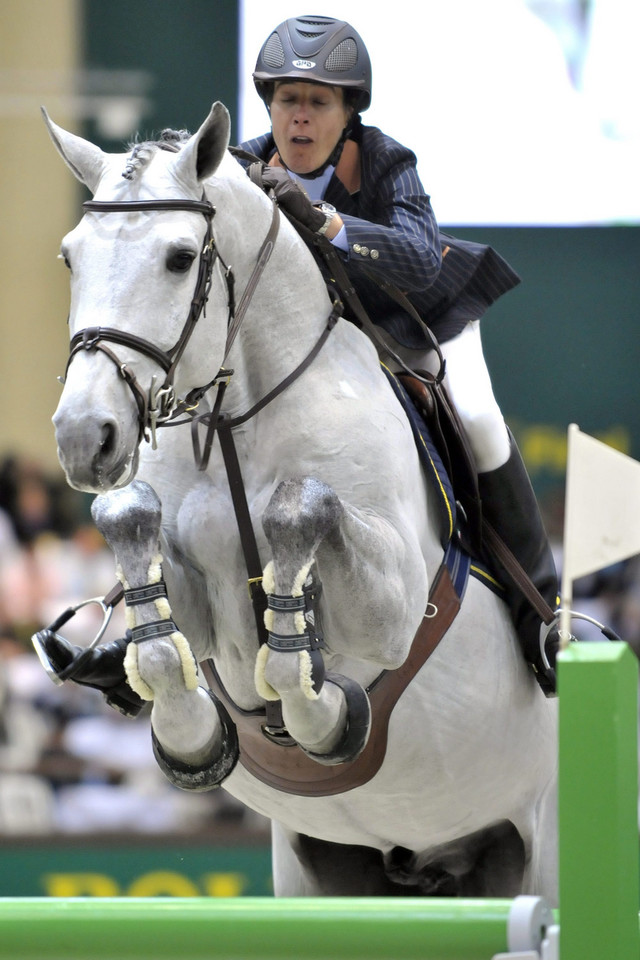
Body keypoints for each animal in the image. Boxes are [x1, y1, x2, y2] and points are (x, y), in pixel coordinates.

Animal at [41, 101, 556, 904]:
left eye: (180, 258)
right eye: (71, 258)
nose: (83, 438)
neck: (232, 422)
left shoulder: (396, 606)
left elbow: (303, 529)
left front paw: (325, 711)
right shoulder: (186, 603)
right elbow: (146, 593)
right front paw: (196, 741)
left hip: (535, 848)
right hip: (323, 869)